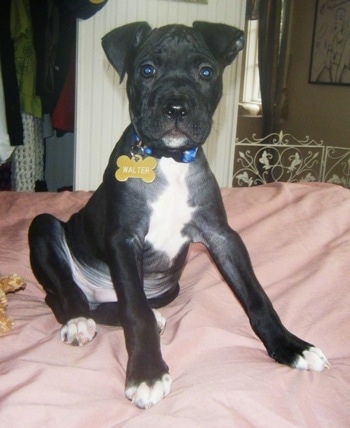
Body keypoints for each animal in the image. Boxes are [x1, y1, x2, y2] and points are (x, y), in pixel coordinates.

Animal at [28, 21, 330, 410]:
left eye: (206, 72)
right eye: (146, 70)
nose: (176, 107)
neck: (169, 161)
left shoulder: (222, 237)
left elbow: (257, 297)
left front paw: (290, 346)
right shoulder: (124, 240)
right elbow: (135, 312)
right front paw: (147, 372)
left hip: (168, 288)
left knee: (118, 305)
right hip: (44, 227)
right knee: (62, 294)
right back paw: (78, 320)